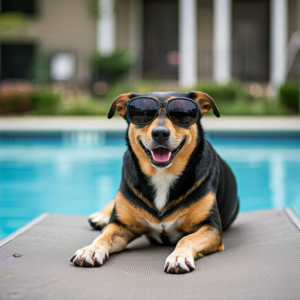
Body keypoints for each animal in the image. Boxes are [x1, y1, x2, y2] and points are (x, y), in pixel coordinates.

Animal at [69, 91, 238, 274]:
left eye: (182, 113)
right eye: (142, 112)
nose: (160, 133)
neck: (162, 175)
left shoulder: (211, 227)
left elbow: (187, 239)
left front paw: (178, 257)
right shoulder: (121, 225)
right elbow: (104, 236)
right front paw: (90, 250)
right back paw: (101, 216)